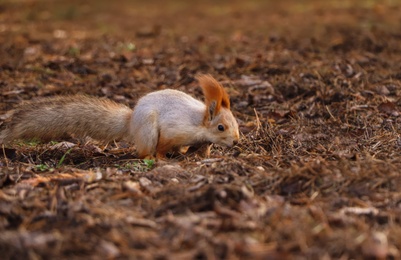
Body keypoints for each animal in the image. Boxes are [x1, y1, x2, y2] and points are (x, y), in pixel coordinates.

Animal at [0, 74, 238, 159]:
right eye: (220, 127)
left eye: (235, 123)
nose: (236, 141)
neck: (199, 123)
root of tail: (131, 121)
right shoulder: (175, 130)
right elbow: (163, 145)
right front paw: (163, 158)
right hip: (148, 130)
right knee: (143, 151)